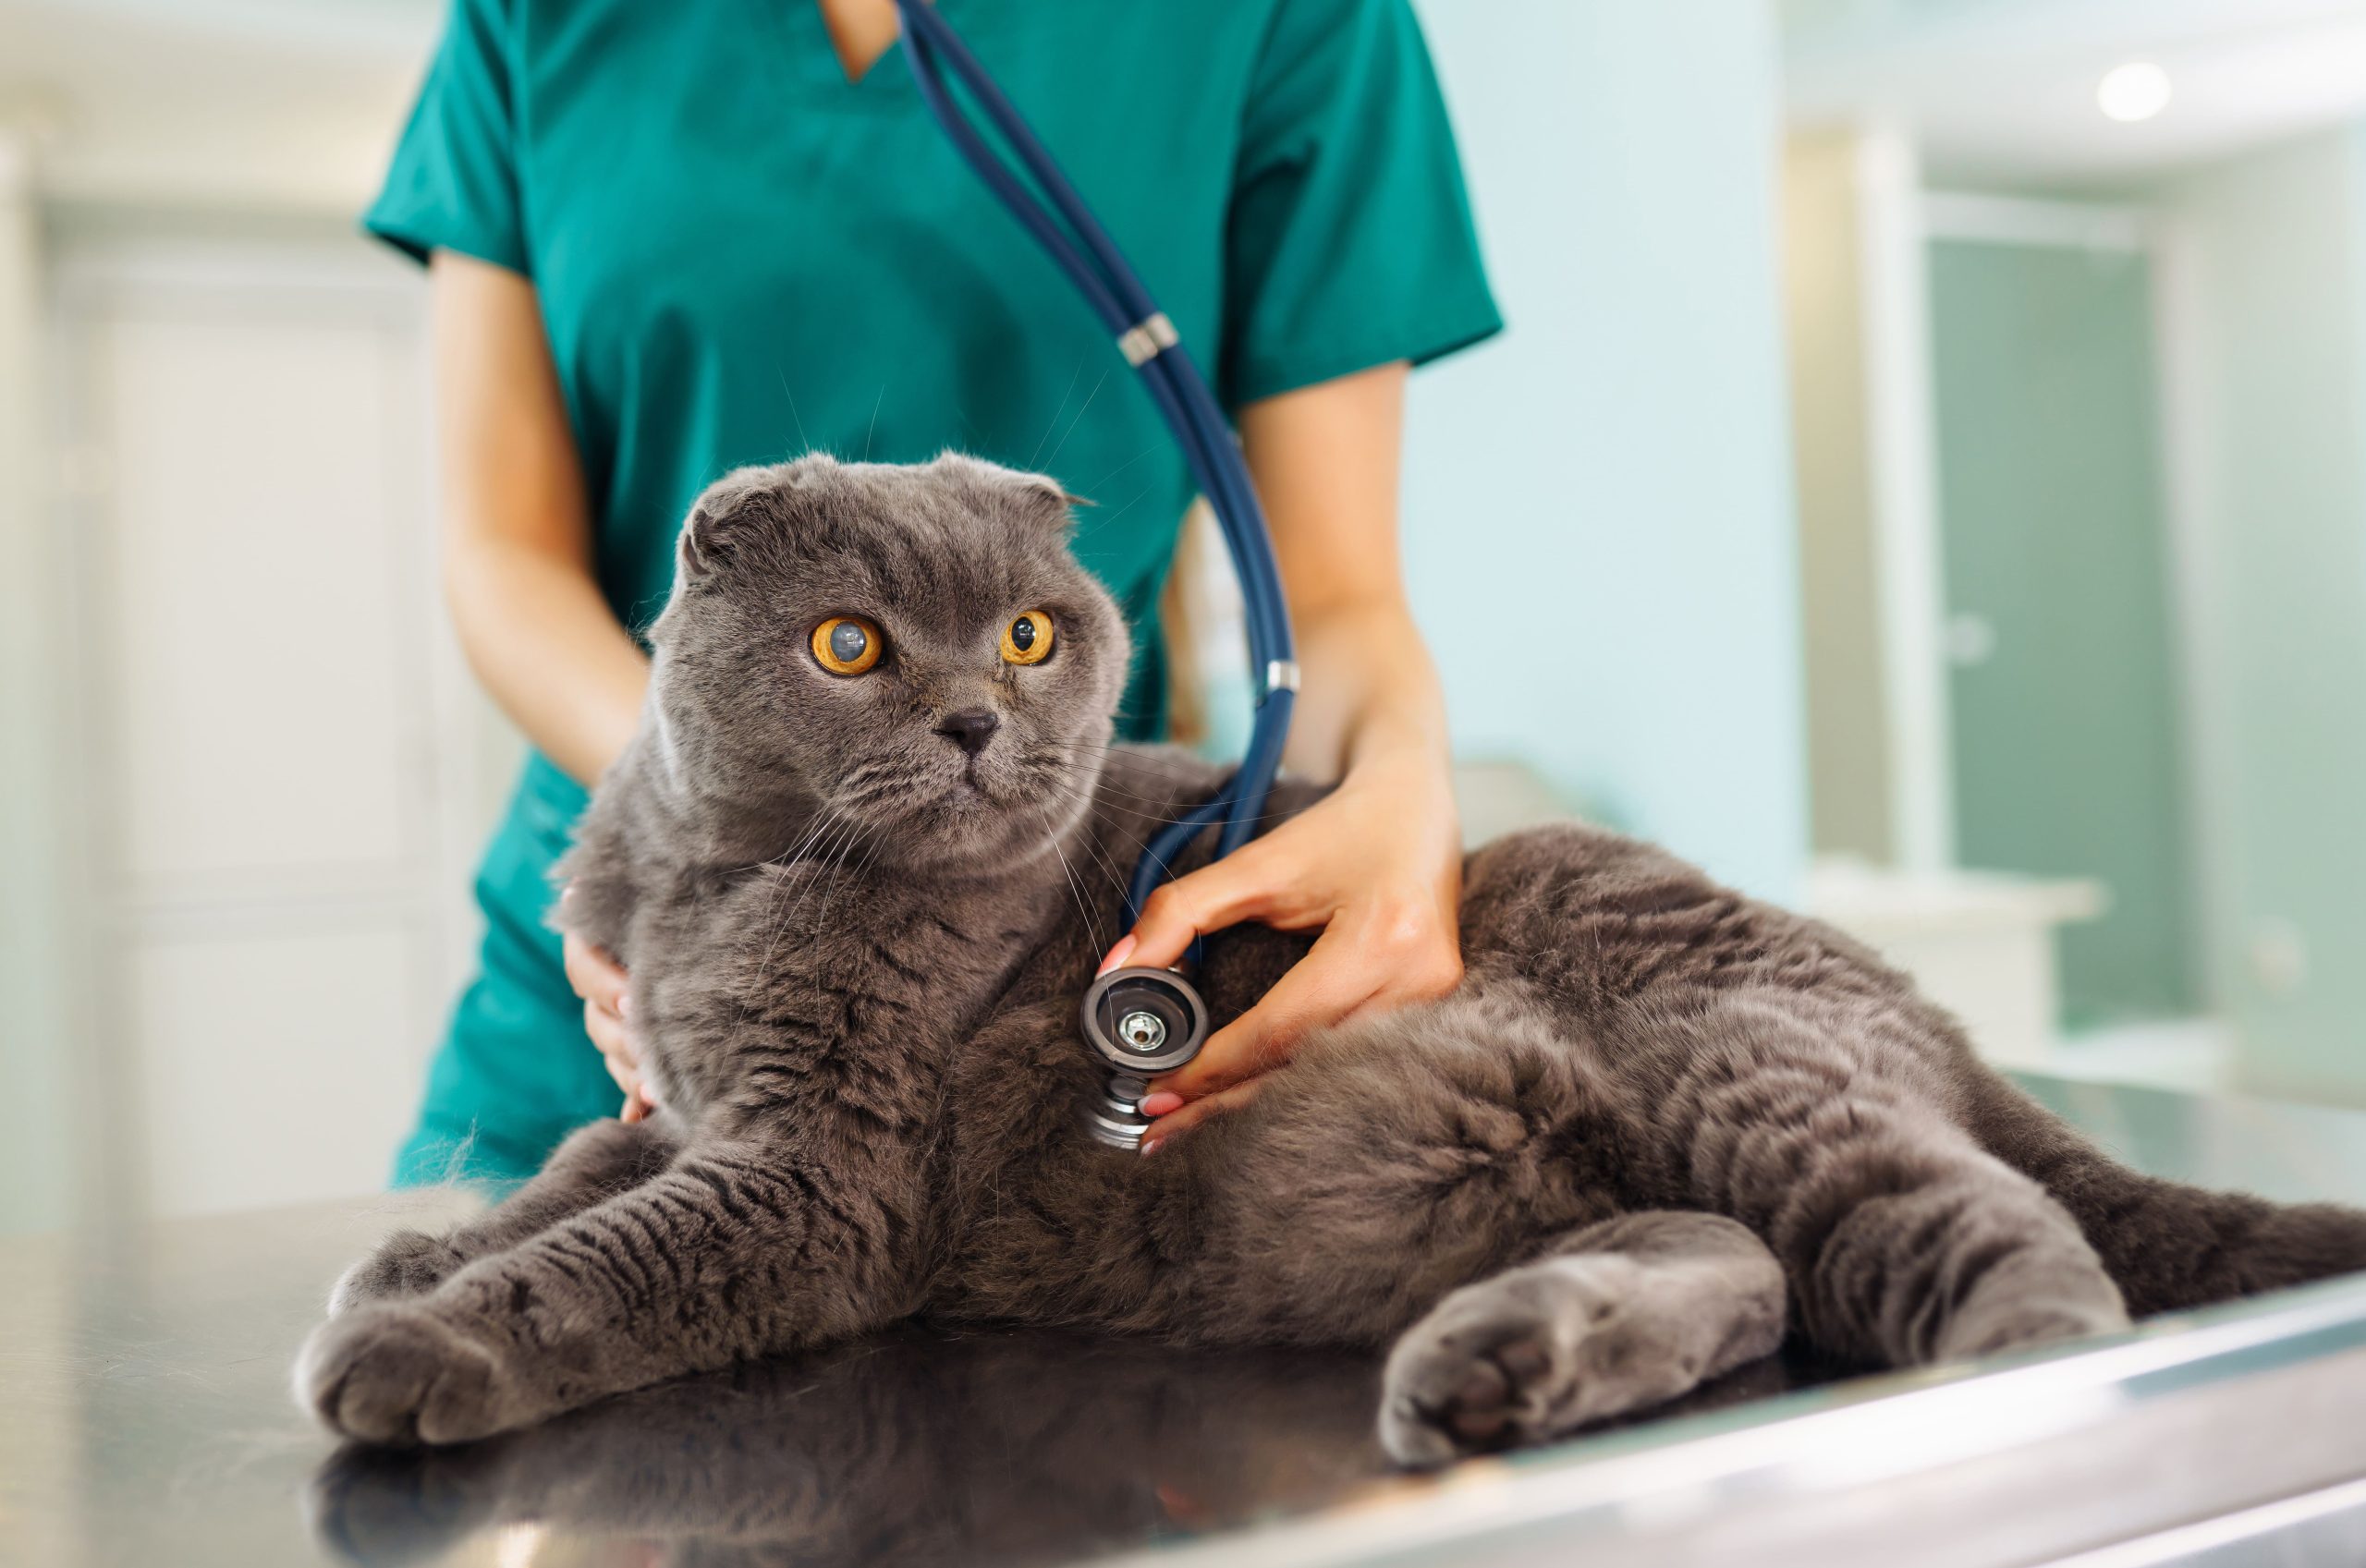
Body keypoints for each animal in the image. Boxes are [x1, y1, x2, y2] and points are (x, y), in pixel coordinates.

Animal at [296, 456, 2366, 1476]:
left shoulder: (825, 1168)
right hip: (1530, 1153)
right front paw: (401, 1262)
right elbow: (574, 1167)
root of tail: (1919, 1003)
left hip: (1729, 1055)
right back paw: (1501, 1367)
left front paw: (422, 1339)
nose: (977, 721)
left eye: (1032, 633)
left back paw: (2015, 1365)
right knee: (1740, 1258)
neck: (720, 888)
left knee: (1993, 1230)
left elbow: (611, 1252)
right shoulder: (688, 1086)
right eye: (851, 645)